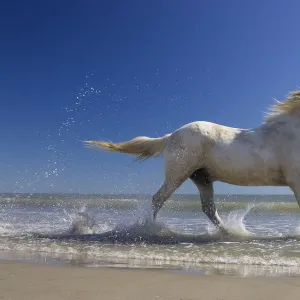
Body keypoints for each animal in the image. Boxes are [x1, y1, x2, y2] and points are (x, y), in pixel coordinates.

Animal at [84, 91, 300, 234]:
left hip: (202, 178)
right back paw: (151, 229)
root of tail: (170, 136)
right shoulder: (295, 180)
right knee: (158, 199)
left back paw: (229, 233)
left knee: (209, 208)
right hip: (178, 175)